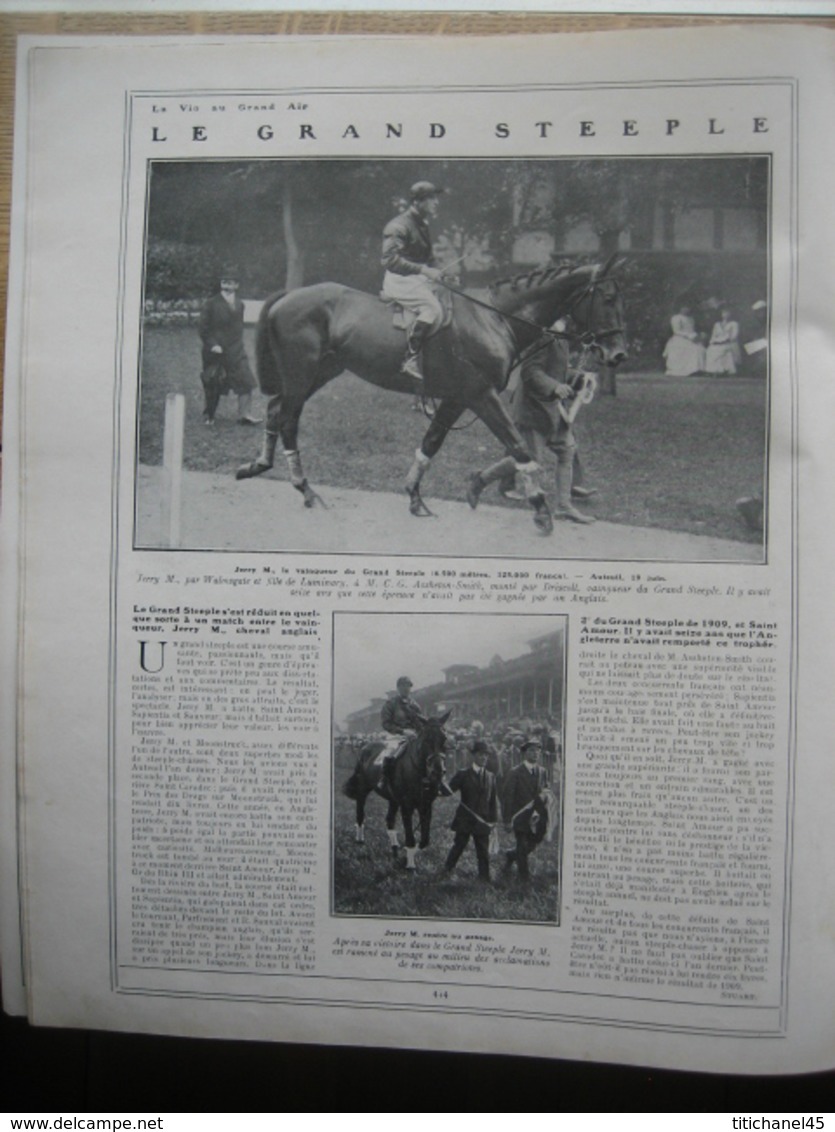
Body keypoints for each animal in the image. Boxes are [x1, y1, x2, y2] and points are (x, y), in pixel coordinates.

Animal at [234, 259, 624, 536]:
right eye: (608, 298)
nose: (618, 354)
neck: (493, 317)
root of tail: (288, 296)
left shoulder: (457, 399)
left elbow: (431, 442)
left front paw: (415, 496)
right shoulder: (481, 396)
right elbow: (518, 447)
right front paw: (541, 509)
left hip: (318, 374)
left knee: (275, 412)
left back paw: (261, 466)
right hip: (300, 376)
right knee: (287, 420)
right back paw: (305, 489)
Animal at [343, 710, 452, 869]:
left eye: (444, 738)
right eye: (426, 739)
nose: (438, 772)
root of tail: (365, 747)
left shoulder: (426, 805)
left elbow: (425, 840)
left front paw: (408, 853)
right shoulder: (406, 806)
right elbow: (410, 837)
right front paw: (410, 864)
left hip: (393, 800)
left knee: (389, 820)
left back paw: (394, 847)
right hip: (363, 790)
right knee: (360, 814)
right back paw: (360, 839)